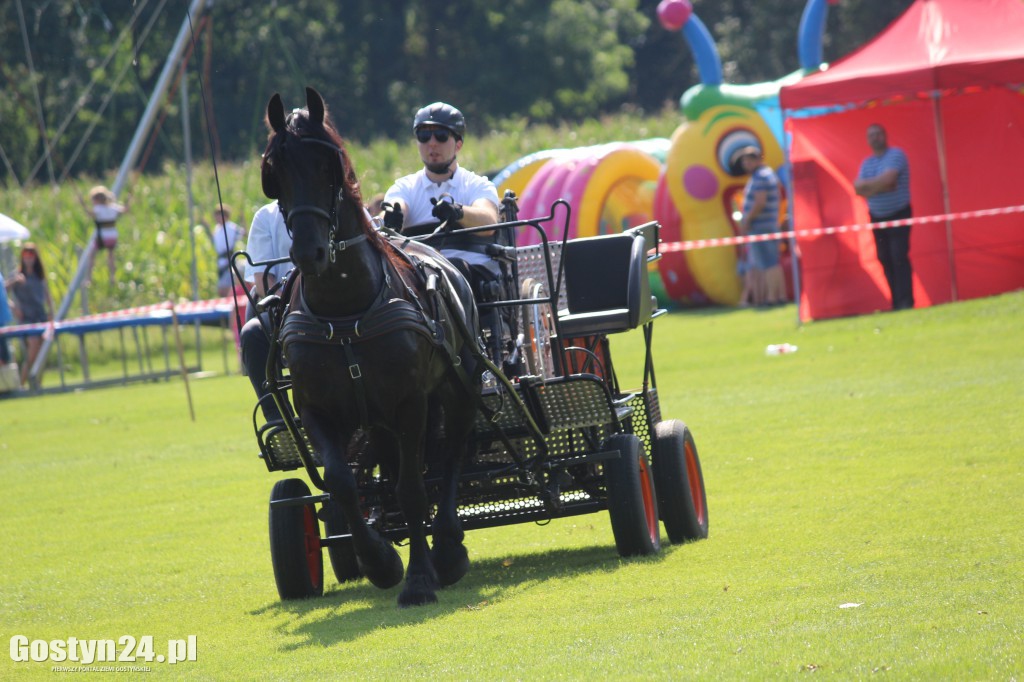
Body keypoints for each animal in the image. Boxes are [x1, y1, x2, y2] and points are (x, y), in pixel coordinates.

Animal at [260, 87, 483, 602]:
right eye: (275, 172)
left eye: (329, 166)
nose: (308, 252)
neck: (346, 311)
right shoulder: (315, 407)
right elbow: (342, 483)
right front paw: (379, 561)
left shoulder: (410, 402)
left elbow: (412, 489)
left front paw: (419, 578)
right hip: (376, 417)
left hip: (457, 389)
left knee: (452, 454)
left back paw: (448, 547)